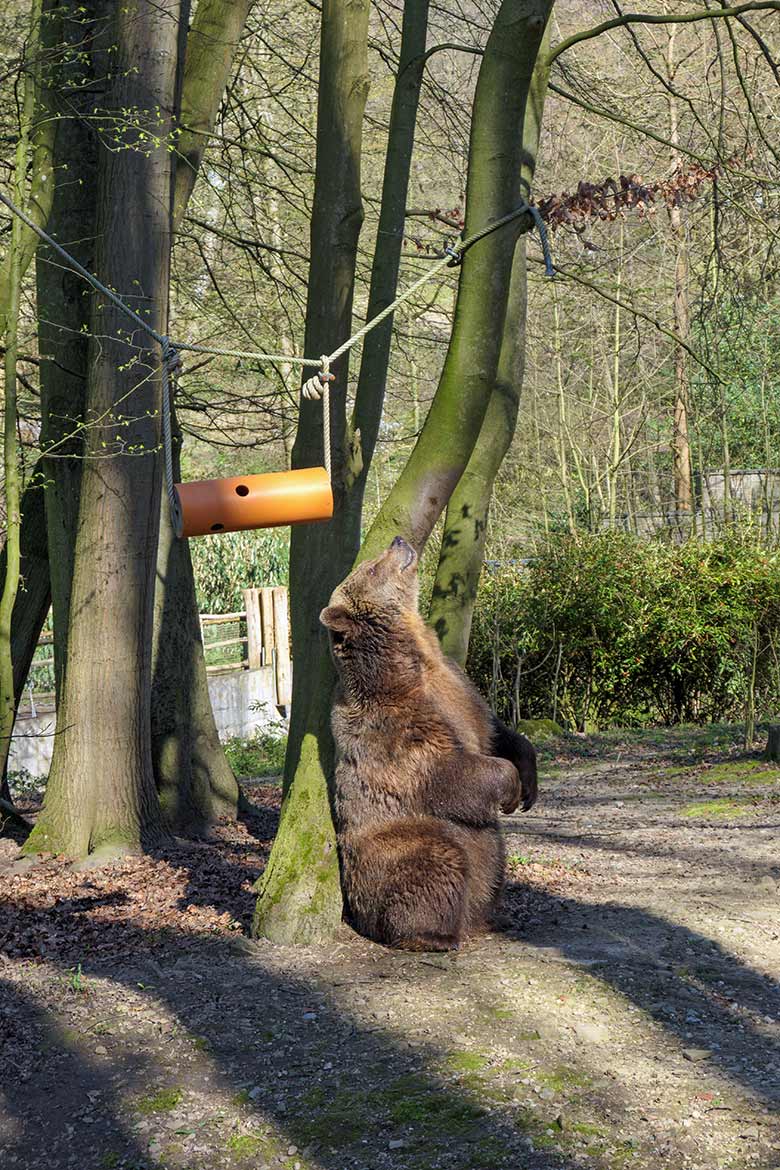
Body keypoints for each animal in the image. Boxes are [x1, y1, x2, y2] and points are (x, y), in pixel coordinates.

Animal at [318, 535, 537, 950]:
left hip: (489, 857)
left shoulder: (460, 690)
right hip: (397, 842)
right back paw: (431, 935)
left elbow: (497, 732)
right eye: (373, 567)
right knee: (435, 860)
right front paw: (511, 788)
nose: (399, 540)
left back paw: (493, 918)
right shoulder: (398, 729)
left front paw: (529, 785)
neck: (412, 660)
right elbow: (448, 771)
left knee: (493, 866)